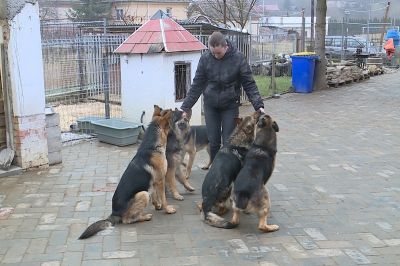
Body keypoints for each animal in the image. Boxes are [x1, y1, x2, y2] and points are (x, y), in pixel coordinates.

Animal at [79, 108, 175, 239]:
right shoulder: (160, 180)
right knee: (127, 220)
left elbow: (156, 196)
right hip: (143, 194)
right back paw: (145, 217)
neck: (152, 146)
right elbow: (163, 198)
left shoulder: (155, 182)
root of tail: (114, 213)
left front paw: (157, 206)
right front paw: (168, 209)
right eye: (171, 124)